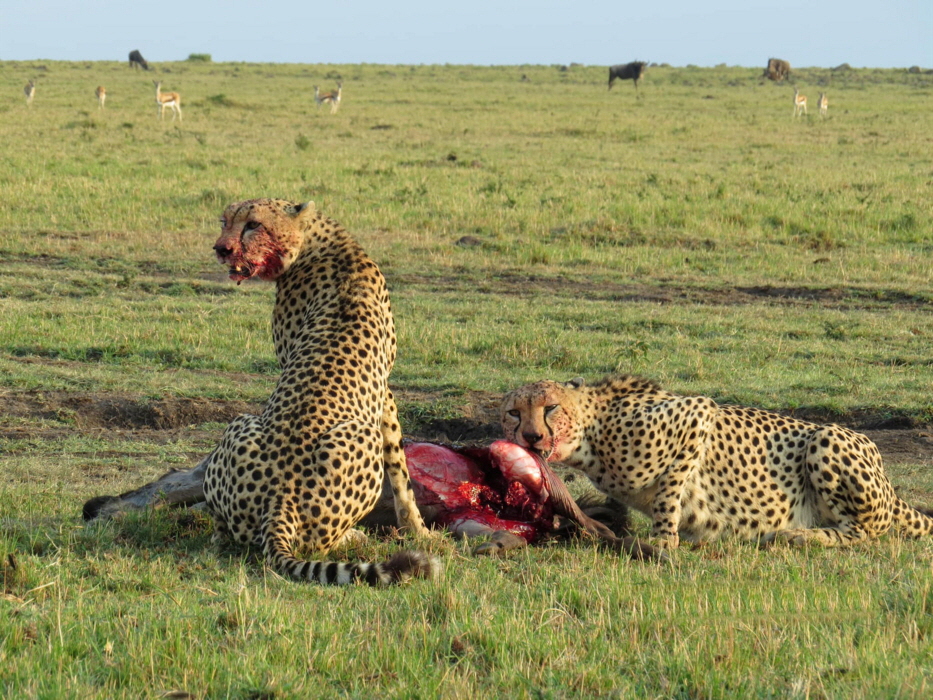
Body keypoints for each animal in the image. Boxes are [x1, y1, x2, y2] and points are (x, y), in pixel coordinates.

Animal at [201, 198, 436, 584]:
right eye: (225, 222)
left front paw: (418, 531)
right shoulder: (384, 393)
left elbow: (400, 470)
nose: (222, 249)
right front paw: (418, 530)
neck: (315, 241)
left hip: (250, 424)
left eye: (253, 225)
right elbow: (400, 468)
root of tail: (279, 499)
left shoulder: (382, 391)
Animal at [502, 374, 932, 548]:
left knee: (865, 532)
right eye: (513, 414)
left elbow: (668, 494)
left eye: (551, 408)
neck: (591, 433)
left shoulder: (696, 415)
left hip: (826, 438)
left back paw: (800, 536)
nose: (531, 437)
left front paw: (665, 539)